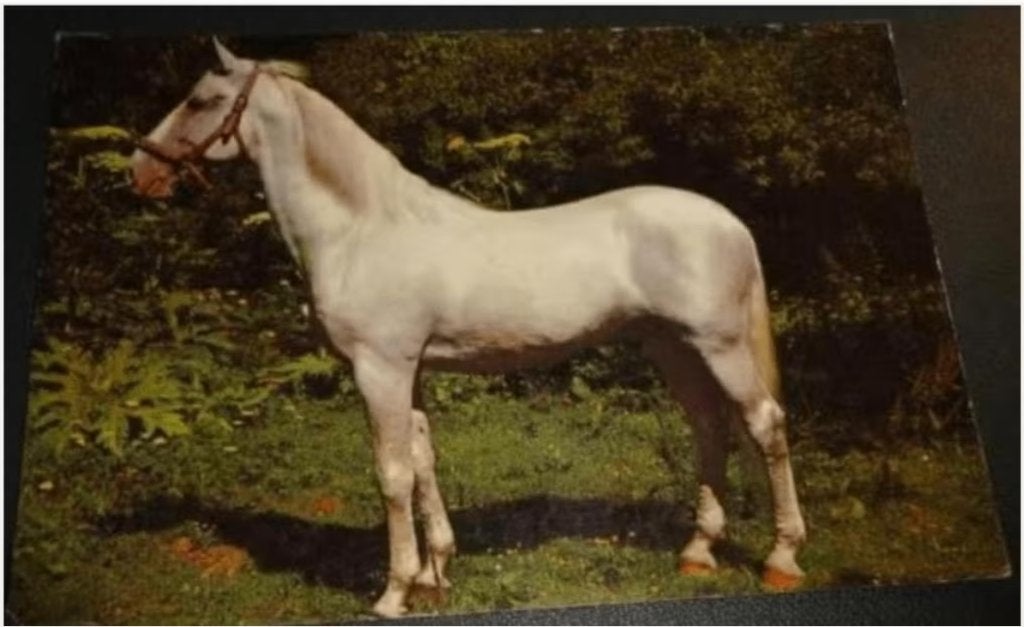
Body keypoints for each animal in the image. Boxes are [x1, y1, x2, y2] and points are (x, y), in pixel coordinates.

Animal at [130, 39, 806, 617]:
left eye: (200, 100)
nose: (139, 171)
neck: (360, 228)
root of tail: (728, 221)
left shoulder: (379, 370)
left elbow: (392, 474)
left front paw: (394, 592)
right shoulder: (411, 371)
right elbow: (423, 460)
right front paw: (435, 577)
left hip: (719, 346)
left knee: (763, 424)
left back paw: (781, 559)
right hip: (672, 347)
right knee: (710, 428)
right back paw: (697, 554)